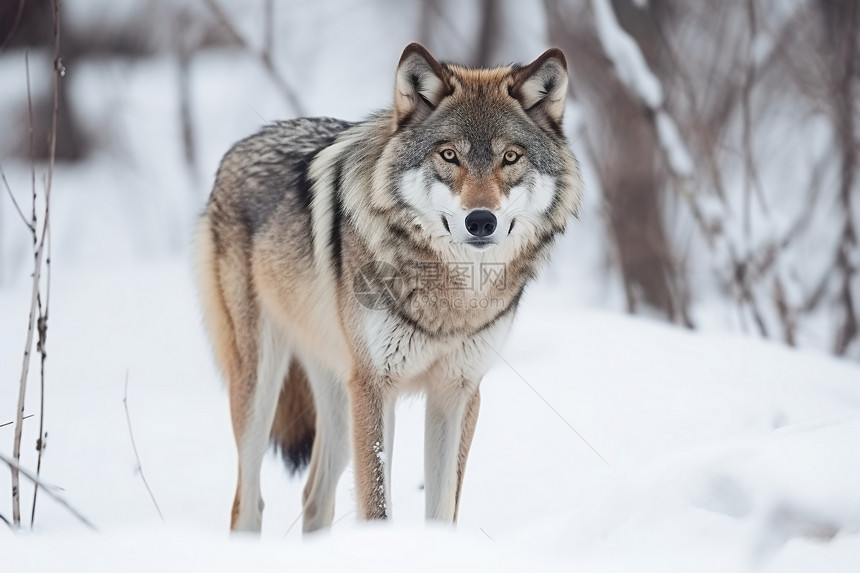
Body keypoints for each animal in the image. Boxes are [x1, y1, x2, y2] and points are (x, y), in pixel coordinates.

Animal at [195, 43, 584, 532]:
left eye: (510, 158)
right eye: (449, 155)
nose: (481, 221)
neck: (452, 295)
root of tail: (240, 146)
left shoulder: (458, 391)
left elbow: (443, 510)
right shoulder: (376, 386)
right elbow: (376, 507)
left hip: (338, 399)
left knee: (314, 498)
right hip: (262, 384)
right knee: (247, 503)